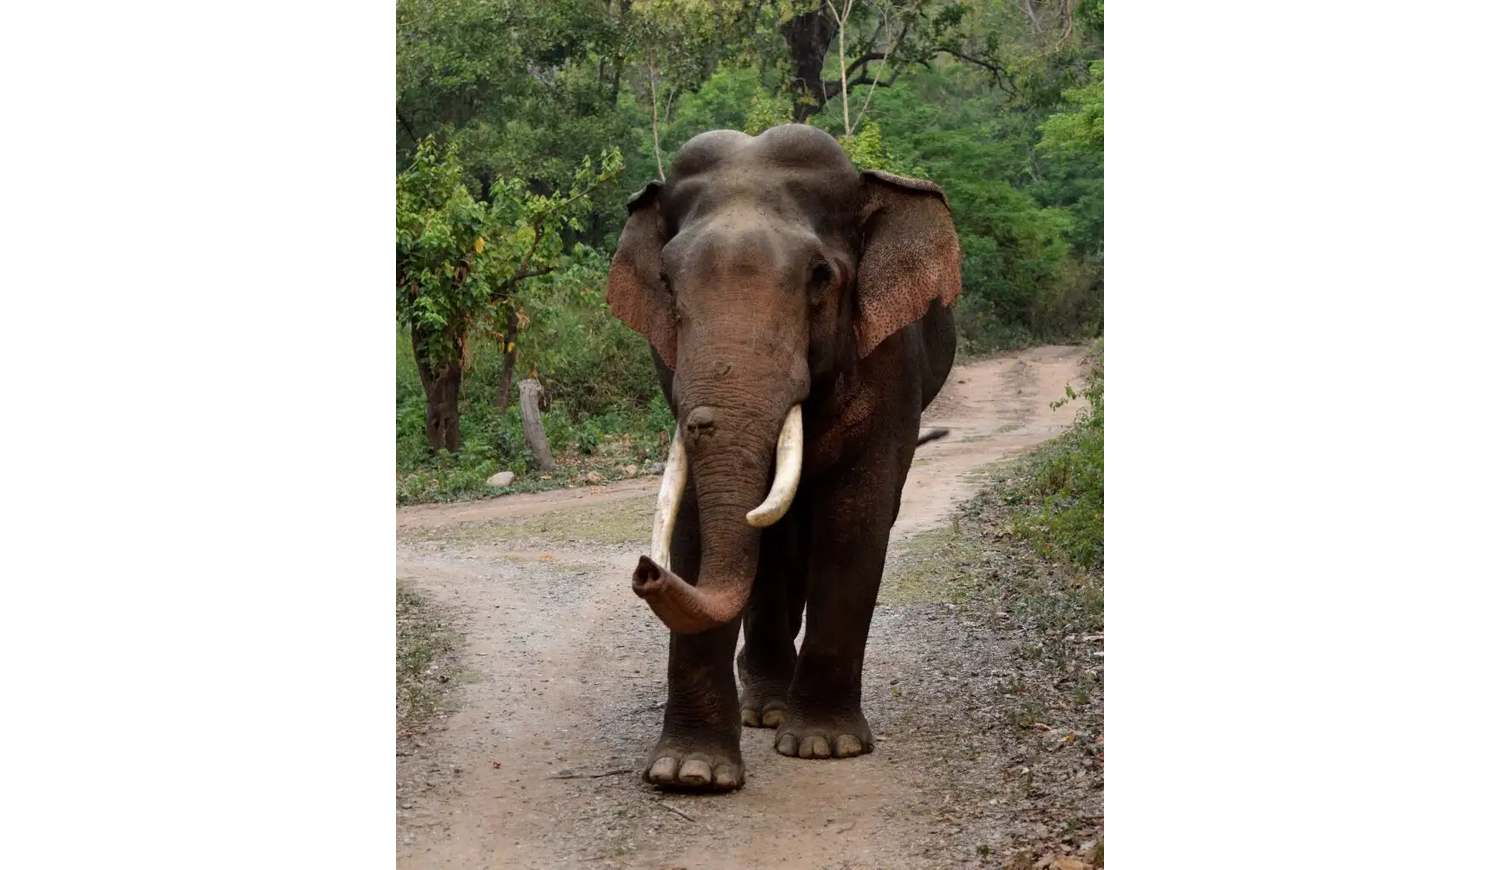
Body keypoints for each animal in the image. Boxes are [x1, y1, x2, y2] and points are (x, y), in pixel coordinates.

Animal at [606, 123, 960, 792]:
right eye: (666, 282)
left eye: (820, 277)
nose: (644, 571)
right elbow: (698, 524)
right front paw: (689, 773)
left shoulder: (889, 362)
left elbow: (856, 519)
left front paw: (824, 747)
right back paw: (764, 709)